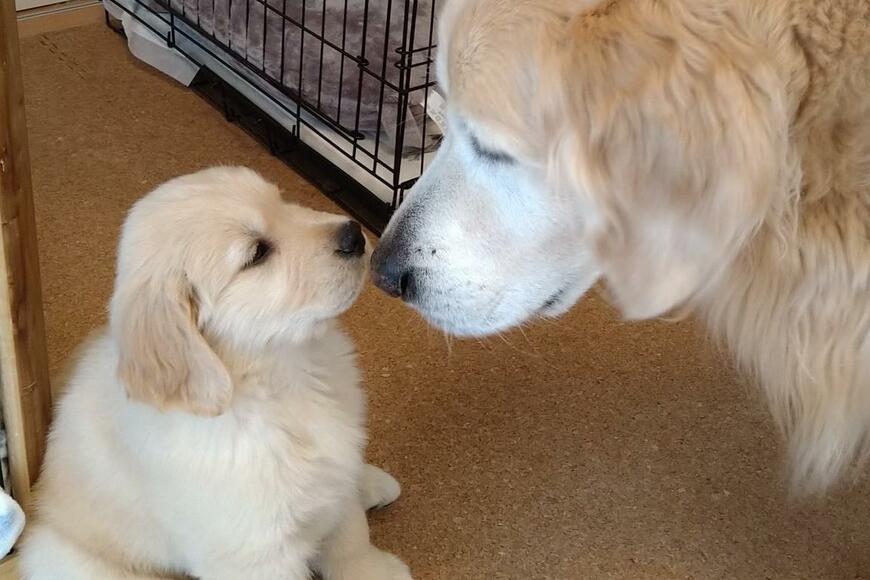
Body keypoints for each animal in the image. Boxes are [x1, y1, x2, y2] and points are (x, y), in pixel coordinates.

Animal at [21, 167, 416, 580]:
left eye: (281, 201)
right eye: (257, 254)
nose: (354, 234)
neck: (285, 377)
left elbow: (350, 531)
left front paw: (371, 567)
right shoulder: (257, 555)